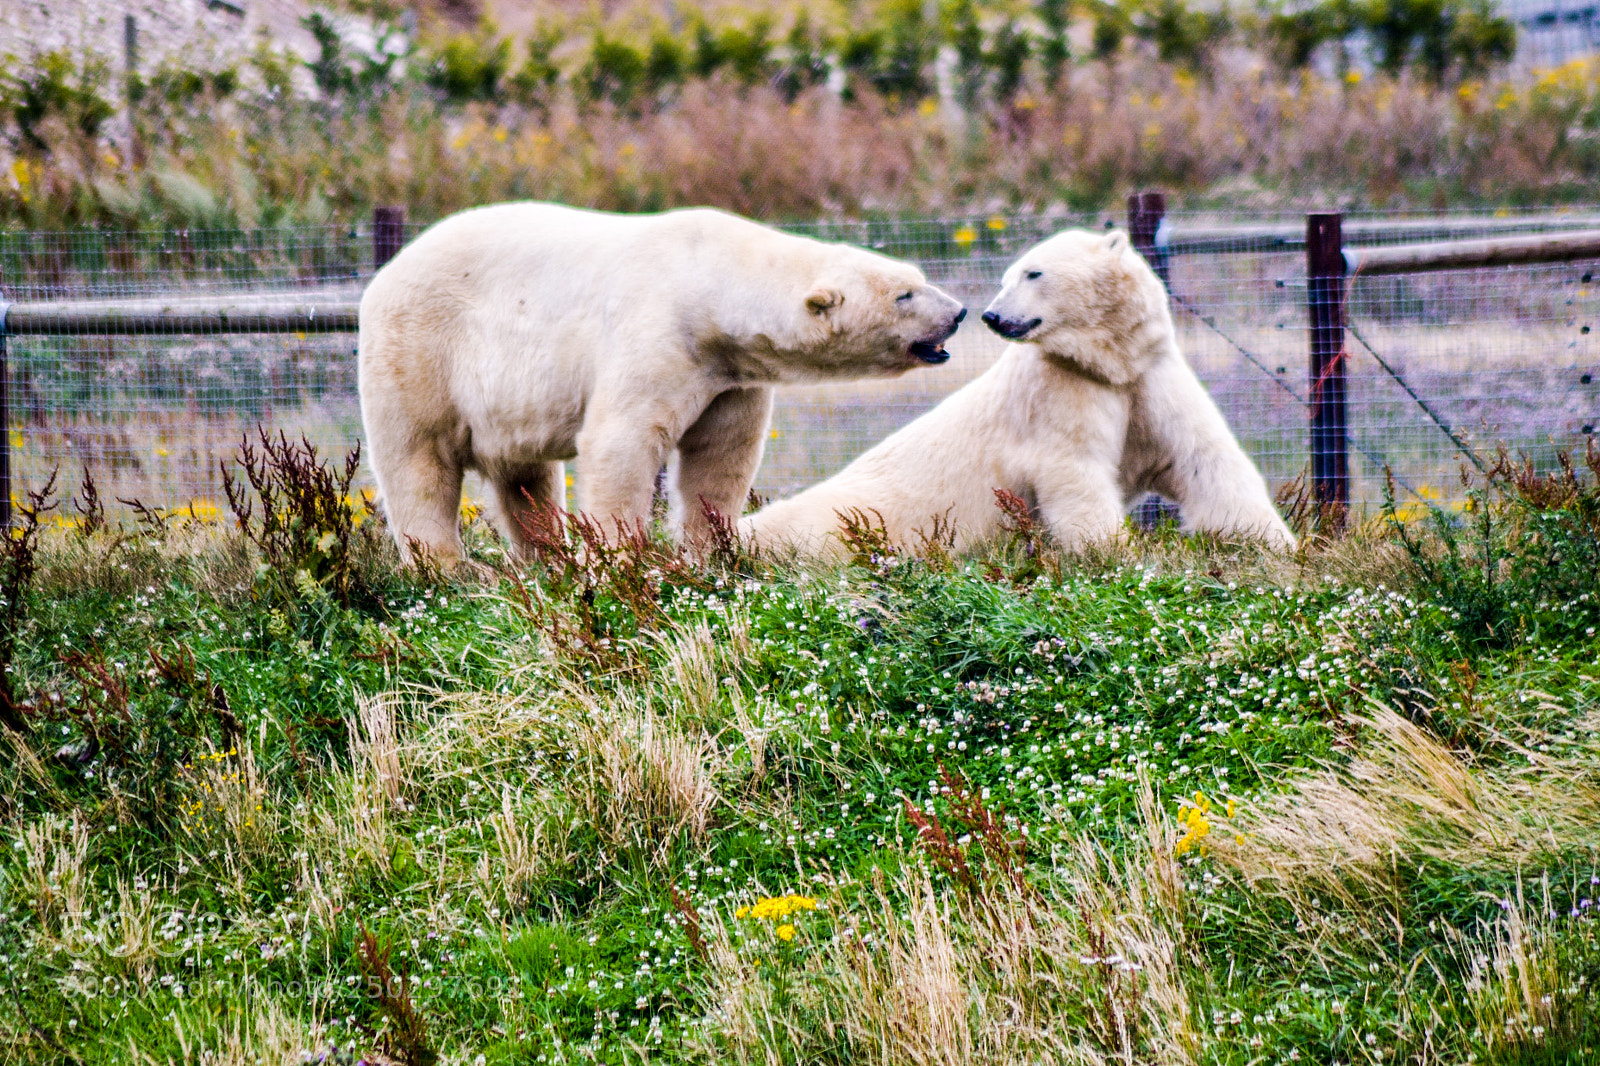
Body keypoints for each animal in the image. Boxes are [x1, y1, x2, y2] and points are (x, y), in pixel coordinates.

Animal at [357, 202, 966, 560]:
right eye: (904, 295)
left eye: (917, 279)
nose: (958, 312)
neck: (709, 286)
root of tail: (381, 276)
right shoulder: (658, 334)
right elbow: (621, 444)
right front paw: (618, 559)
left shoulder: (728, 374)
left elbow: (721, 456)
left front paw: (709, 552)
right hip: (418, 352)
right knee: (419, 464)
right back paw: (447, 570)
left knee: (526, 478)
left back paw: (548, 558)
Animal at [740, 227, 1295, 555]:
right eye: (1008, 275)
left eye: (1033, 272)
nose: (991, 315)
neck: (1107, 362)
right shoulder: (1059, 390)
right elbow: (1075, 471)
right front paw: (1114, 551)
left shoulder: (1148, 378)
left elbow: (1203, 459)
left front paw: (1277, 544)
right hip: (858, 515)